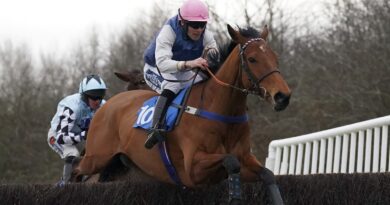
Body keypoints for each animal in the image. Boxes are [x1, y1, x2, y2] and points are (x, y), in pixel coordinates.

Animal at [76, 24, 290, 205]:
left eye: (275, 58)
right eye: (252, 59)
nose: (283, 96)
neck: (219, 108)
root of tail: (106, 105)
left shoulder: (246, 160)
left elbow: (267, 174)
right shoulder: (193, 169)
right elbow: (231, 161)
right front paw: (235, 196)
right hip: (96, 158)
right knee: (76, 171)